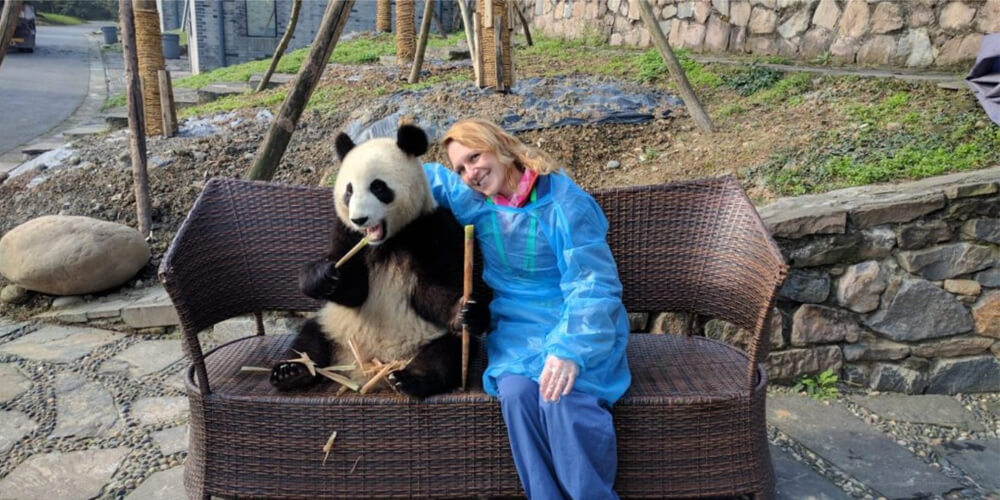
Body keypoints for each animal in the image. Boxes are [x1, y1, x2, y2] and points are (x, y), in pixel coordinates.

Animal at [270, 124, 490, 399]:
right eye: (349, 190)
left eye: (378, 187)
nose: (359, 219)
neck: (387, 242)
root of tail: (365, 369)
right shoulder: (346, 233)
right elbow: (353, 291)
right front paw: (322, 276)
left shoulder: (432, 228)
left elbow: (432, 291)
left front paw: (465, 311)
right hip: (334, 327)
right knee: (309, 337)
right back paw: (291, 372)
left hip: (427, 337)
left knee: (445, 352)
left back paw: (409, 379)